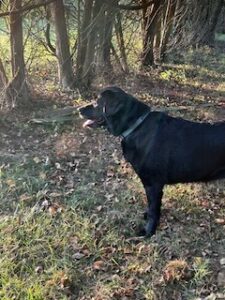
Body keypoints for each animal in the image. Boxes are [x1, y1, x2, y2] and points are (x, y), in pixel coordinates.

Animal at [79, 86, 225, 237]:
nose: (79, 109)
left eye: (97, 102)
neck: (136, 126)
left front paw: (148, 231)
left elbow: (153, 209)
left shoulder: (153, 183)